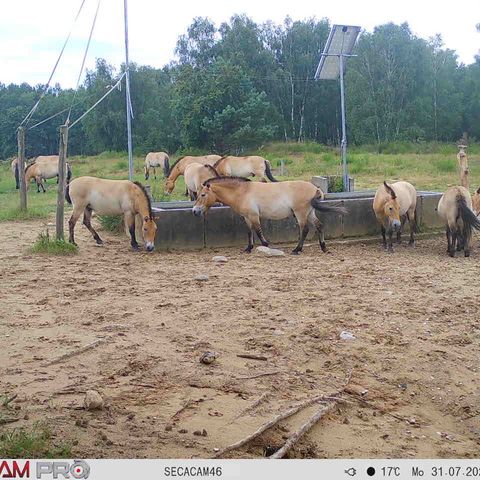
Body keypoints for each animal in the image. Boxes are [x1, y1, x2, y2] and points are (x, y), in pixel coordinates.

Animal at [193, 176, 346, 255]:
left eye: (203, 195)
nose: (195, 211)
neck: (242, 192)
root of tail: (315, 188)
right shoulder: (247, 217)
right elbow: (249, 232)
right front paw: (248, 248)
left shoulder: (254, 216)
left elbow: (258, 231)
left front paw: (266, 246)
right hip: (309, 213)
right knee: (319, 226)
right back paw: (323, 247)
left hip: (301, 213)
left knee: (305, 230)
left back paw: (297, 250)